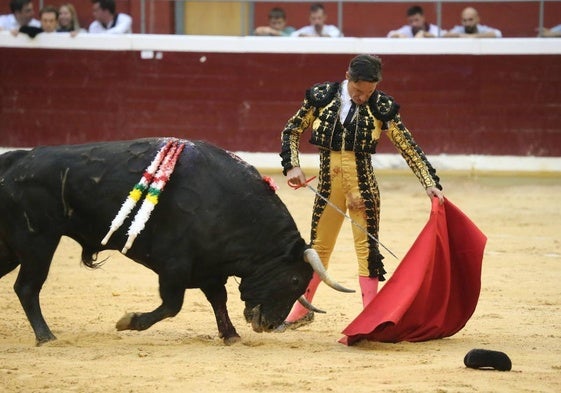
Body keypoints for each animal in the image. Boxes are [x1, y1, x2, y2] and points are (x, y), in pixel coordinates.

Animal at [0, 137, 350, 344]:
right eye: (294, 280)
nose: (269, 324)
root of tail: (18, 160)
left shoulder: (209, 268)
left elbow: (218, 300)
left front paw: (230, 335)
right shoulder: (174, 266)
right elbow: (173, 304)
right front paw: (129, 322)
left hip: (14, 247)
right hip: (38, 242)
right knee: (27, 287)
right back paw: (46, 336)